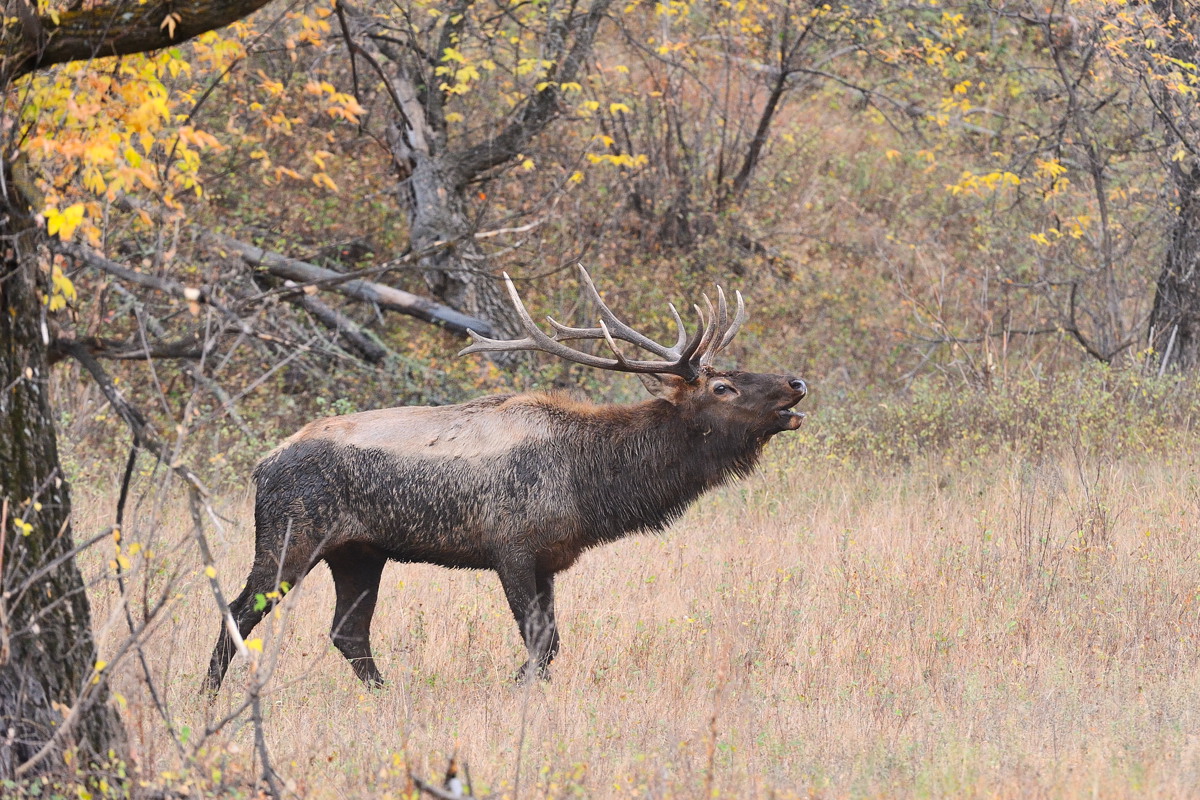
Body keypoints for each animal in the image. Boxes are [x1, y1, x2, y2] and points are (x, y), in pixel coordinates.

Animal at [203, 267, 807, 692]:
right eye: (723, 387)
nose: (796, 383)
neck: (591, 484)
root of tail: (263, 466)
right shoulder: (511, 548)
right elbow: (540, 642)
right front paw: (517, 685)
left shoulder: (551, 559)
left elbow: (552, 641)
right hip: (291, 538)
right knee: (239, 610)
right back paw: (206, 696)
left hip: (359, 552)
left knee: (347, 632)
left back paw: (389, 695)